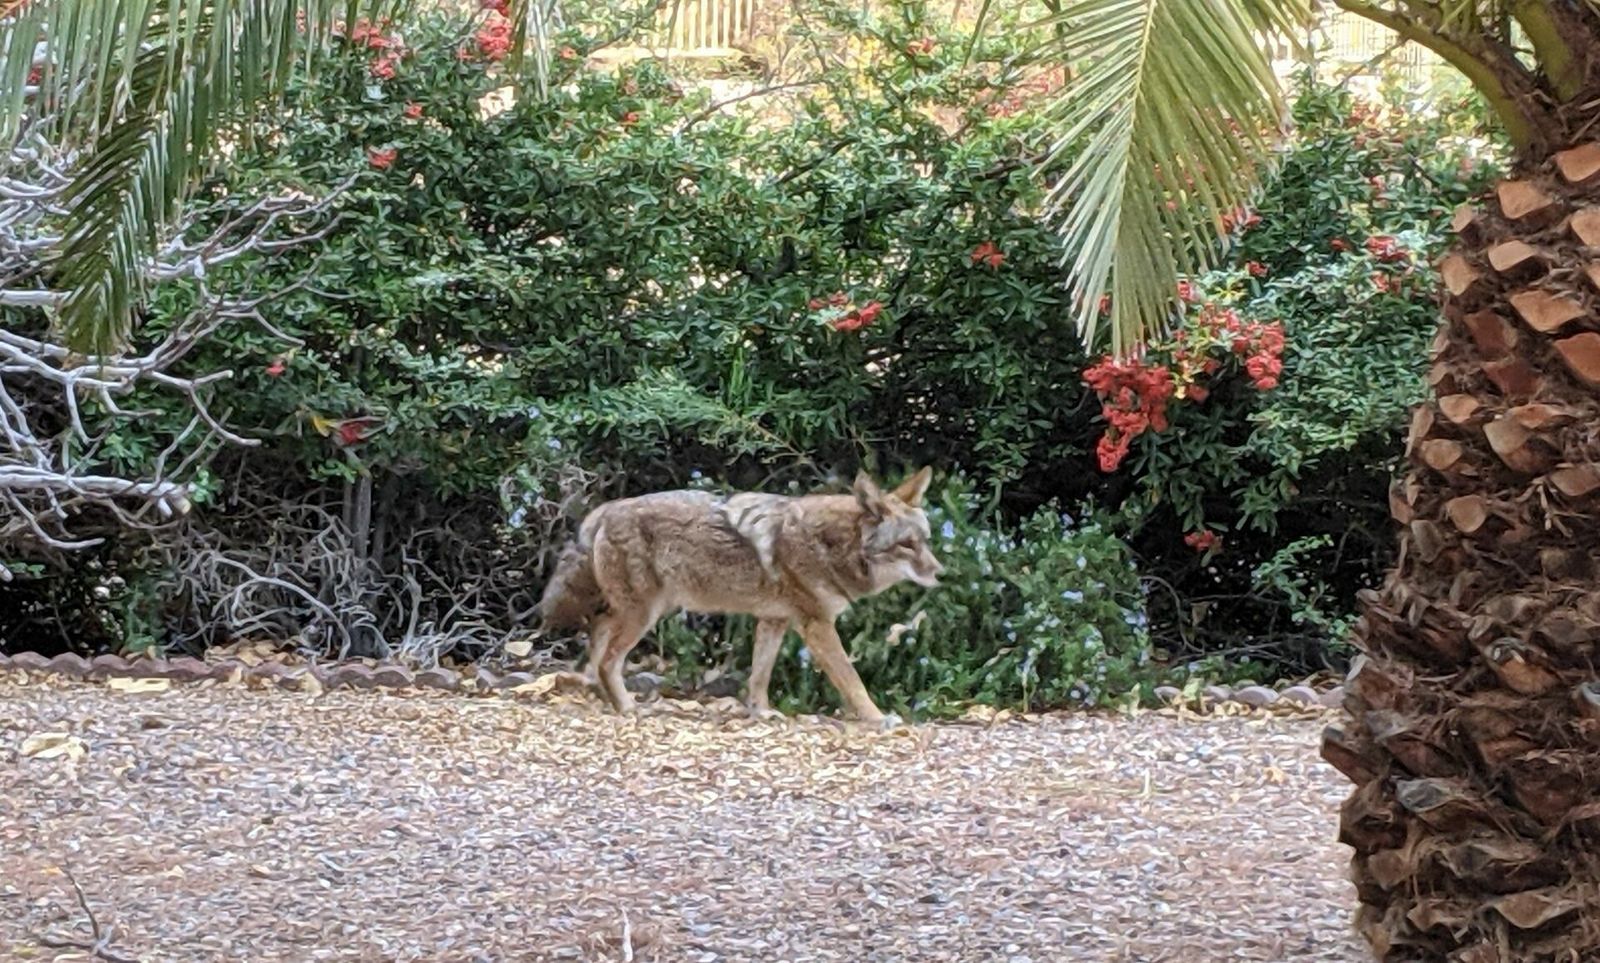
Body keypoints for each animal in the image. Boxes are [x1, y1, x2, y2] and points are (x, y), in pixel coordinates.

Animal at [538, 468, 943, 724]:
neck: (831, 544)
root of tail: (606, 509)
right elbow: (852, 679)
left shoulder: (774, 620)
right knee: (608, 661)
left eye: (925, 541)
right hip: (644, 615)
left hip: (641, 611)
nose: (941, 573)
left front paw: (761, 713)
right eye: (907, 545)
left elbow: (759, 676)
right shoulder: (817, 625)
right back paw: (626, 707)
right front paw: (878, 718)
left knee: (598, 640)